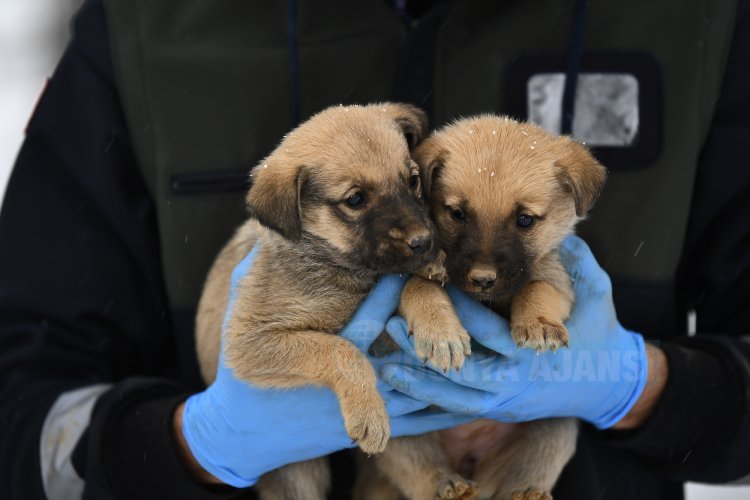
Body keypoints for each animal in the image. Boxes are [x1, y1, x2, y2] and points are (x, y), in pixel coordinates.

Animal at [194, 102, 440, 500]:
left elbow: (407, 286)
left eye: (412, 180)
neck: (335, 265)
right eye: (355, 199)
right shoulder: (251, 341)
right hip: (294, 471)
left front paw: (438, 324)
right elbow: (341, 350)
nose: (424, 242)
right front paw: (368, 413)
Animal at [362, 116, 608, 500]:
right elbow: (419, 286)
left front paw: (538, 324)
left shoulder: (557, 279)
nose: (482, 279)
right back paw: (448, 485)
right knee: (422, 471)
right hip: (400, 433)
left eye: (525, 219)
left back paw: (525, 491)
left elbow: (535, 288)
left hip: (556, 425)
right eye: (458, 213)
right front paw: (440, 333)